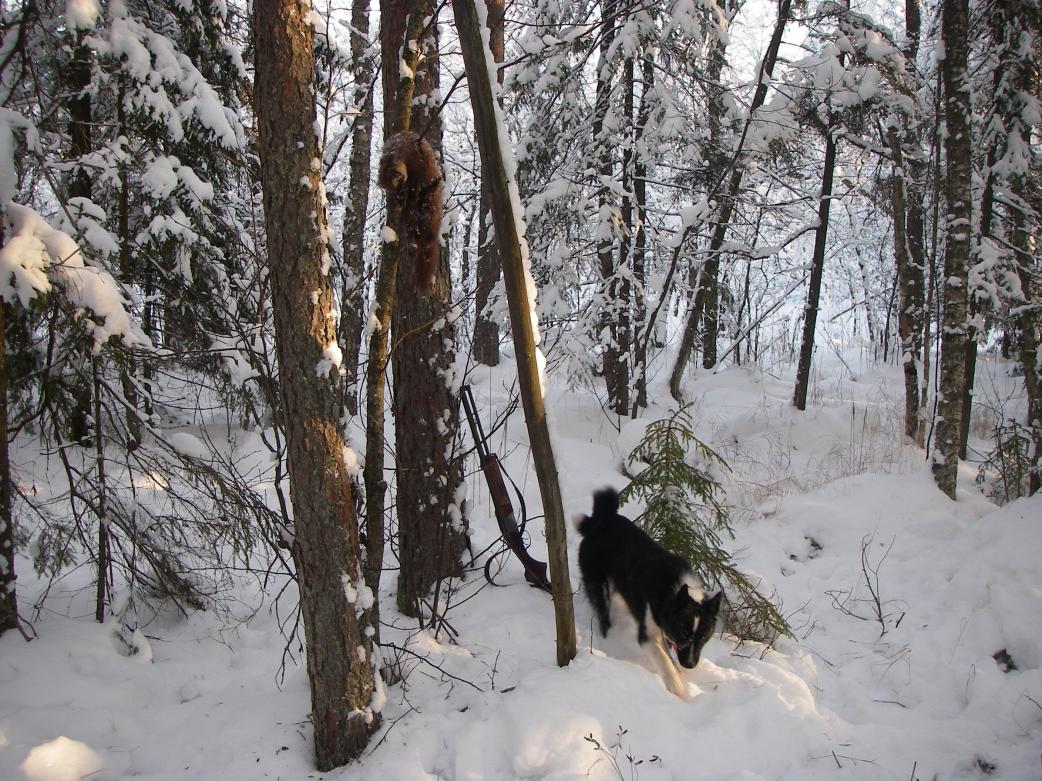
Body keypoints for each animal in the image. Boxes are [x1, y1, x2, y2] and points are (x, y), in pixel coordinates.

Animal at [576, 488, 722, 697]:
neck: (671, 594)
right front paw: (678, 689)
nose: (690, 665)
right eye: (684, 633)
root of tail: (602, 520)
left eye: (703, 637)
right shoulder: (648, 636)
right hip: (598, 585)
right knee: (603, 615)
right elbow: (665, 662)